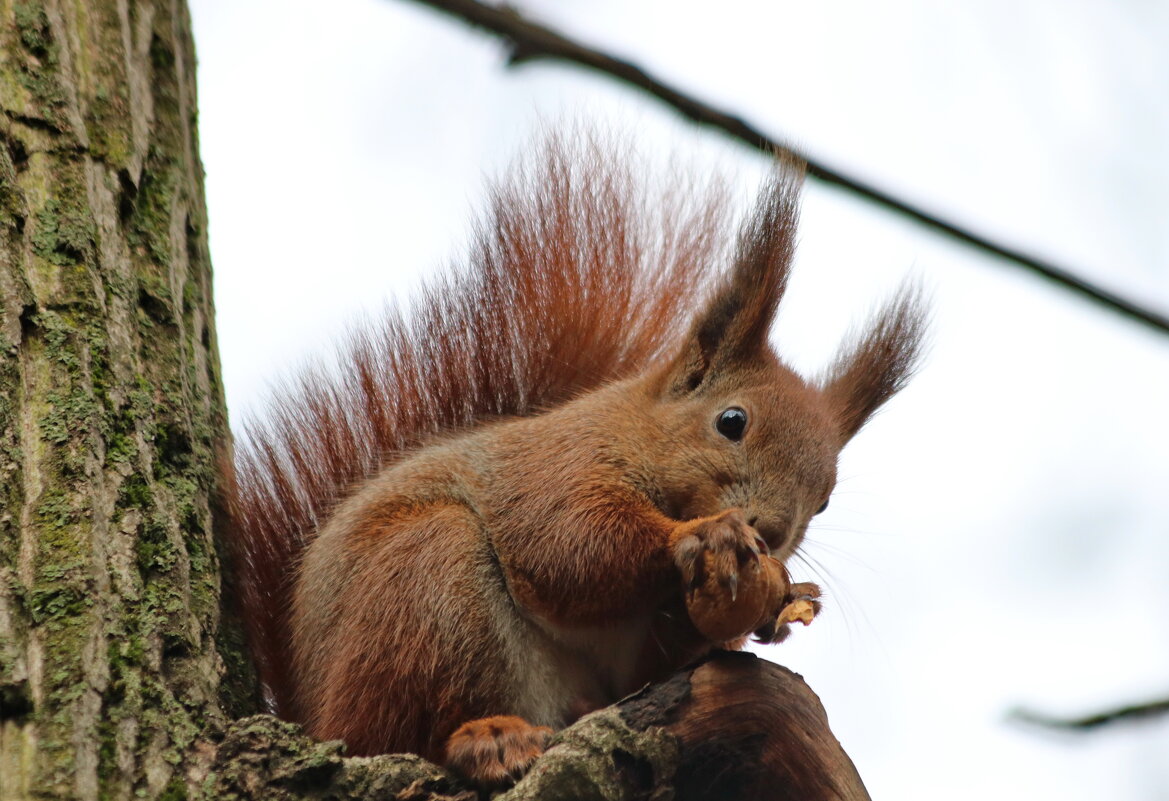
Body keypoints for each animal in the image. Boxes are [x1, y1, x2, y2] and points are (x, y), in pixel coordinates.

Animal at [225, 130, 921, 785]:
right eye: (732, 422)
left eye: (825, 499)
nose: (772, 532)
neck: (634, 431)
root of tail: (314, 714)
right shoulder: (558, 465)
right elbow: (568, 543)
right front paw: (703, 537)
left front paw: (776, 604)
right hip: (426, 585)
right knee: (406, 728)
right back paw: (487, 737)